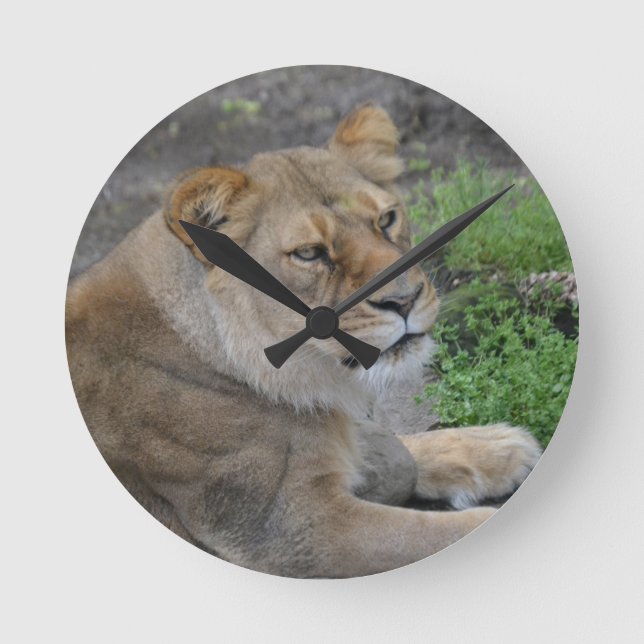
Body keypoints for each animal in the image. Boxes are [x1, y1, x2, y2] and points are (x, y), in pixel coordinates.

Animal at [66, 104, 542, 577]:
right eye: (310, 254)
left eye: (387, 219)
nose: (405, 300)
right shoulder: (289, 528)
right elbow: (431, 534)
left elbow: (392, 444)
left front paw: (496, 447)